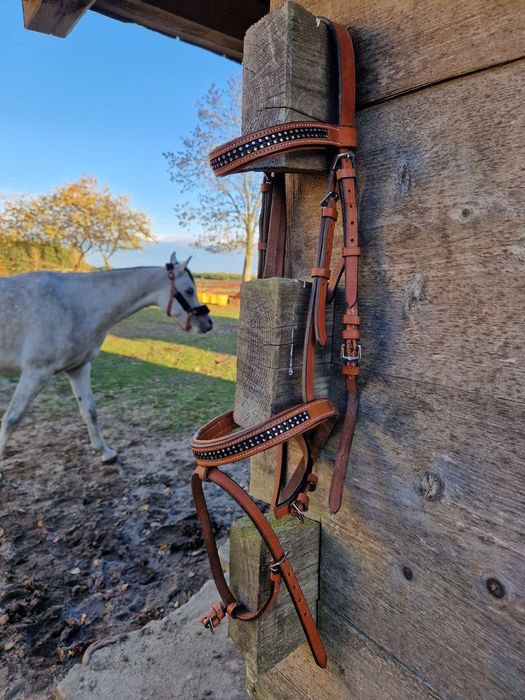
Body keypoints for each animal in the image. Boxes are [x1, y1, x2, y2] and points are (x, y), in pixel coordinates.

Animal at [0, 252, 212, 463]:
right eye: (189, 290)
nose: (208, 323)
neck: (75, 305)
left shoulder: (78, 369)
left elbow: (90, 411)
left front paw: (105, 452)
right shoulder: (36, 372)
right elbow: (12, 418)